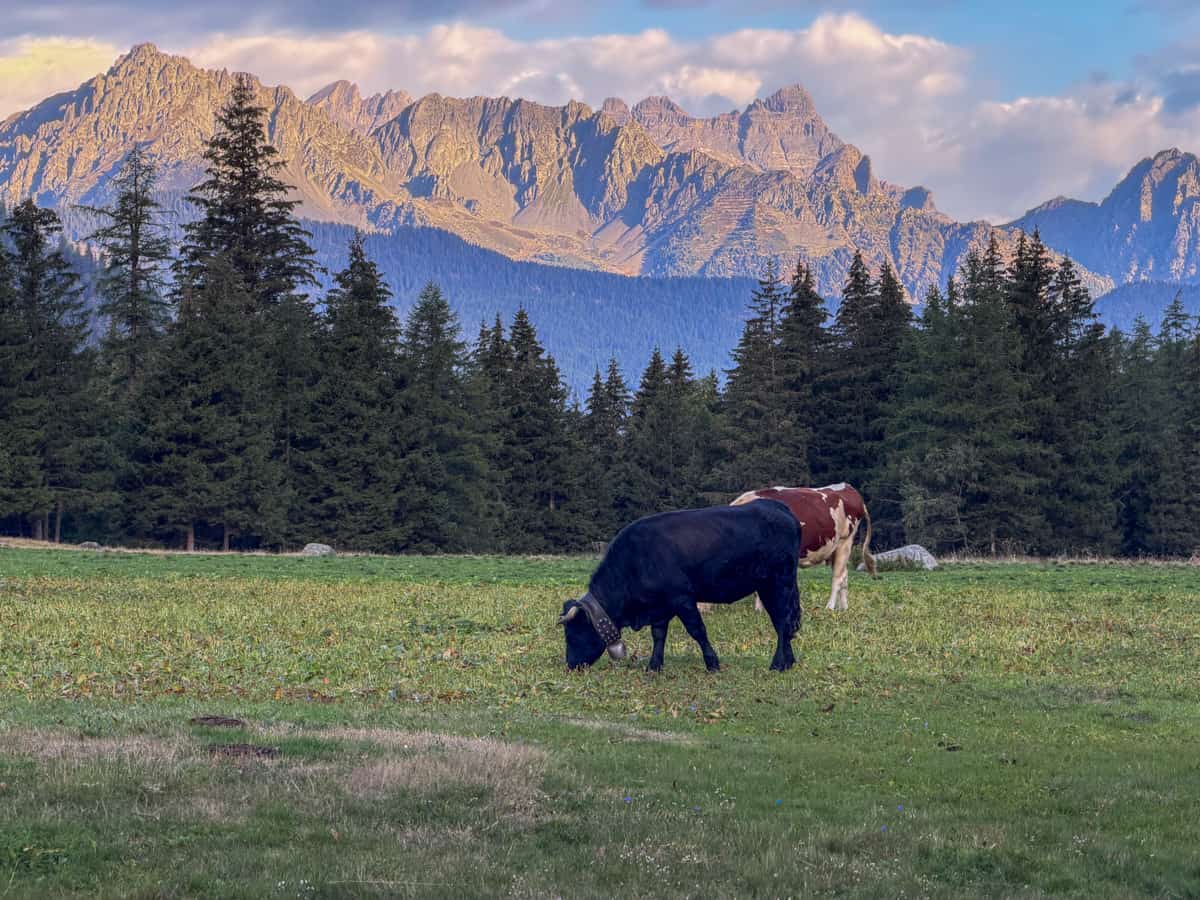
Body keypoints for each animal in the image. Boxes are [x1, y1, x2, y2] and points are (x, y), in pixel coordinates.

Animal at [558, 501, 803, 673]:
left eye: (572, 633)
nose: (570, 665)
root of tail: (778, 507)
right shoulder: (659, 607)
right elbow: (658, 635)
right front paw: (654, 666)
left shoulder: (681, 598)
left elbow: (697, 630)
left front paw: (712, 664)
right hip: (767, 586)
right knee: (781, 622)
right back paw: (788, 662)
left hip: (780, 582)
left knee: (783, 621)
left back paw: (777, 664)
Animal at [699, 483, 875, 615]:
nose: (701, 610)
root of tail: (848, 488)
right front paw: (760, 609)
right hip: (834, 548)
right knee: (844, 575)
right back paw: (843, 607)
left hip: (845, 542)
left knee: (837, 578)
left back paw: (830, 607)